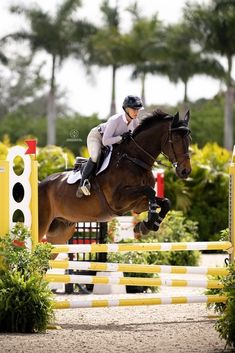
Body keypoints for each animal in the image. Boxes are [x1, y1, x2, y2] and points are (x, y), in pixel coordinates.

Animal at [38, 108, 192, 243]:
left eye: (189, 139)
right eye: (176, 139)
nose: (186, 171)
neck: (134, 160)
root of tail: (40, 184)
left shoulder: (138, 204)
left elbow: (165, 201)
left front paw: (147, 225)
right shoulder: (118, 200)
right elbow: (150, 191)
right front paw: (149, 221)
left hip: (60, 231)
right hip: (42, 226)